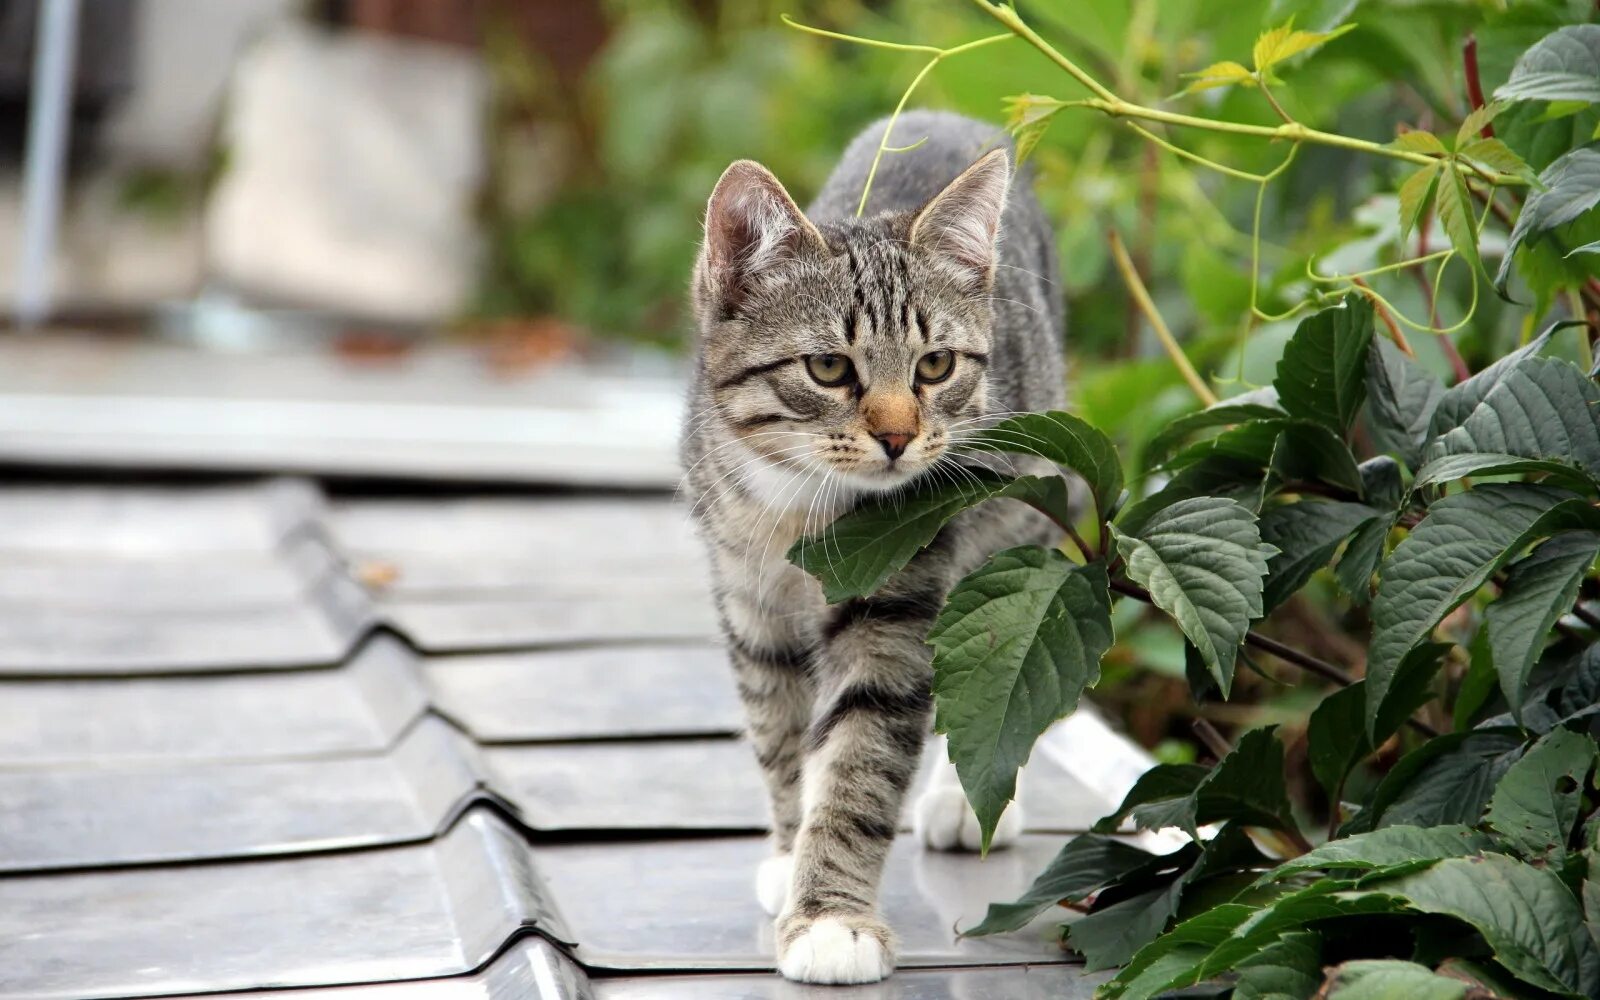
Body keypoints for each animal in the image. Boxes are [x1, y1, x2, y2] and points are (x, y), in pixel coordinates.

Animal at [681, 111, 1068, 985]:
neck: (797, 508)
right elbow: (781, 737)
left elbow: (859, 758)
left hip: (1027, 503)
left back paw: (966, 798)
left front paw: (831, 918)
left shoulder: (896, 594)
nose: (897, 437)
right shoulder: (748, 600)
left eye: (936, 365)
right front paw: (791, 852)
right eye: (829, 366)